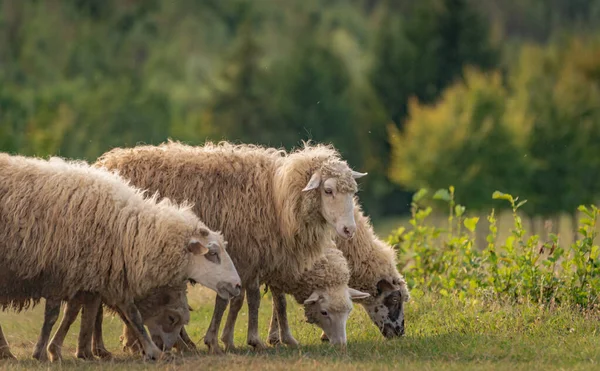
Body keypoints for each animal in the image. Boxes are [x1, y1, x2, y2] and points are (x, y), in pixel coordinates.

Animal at [0, 153, 241, 362]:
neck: (127, 228)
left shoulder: (98, 273)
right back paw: (7, 351)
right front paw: (43, 351)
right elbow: (53, 315)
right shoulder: (61, 272)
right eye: (213, 253)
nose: (238, 285)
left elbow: (120, 313)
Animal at [94, 139, 368, 352]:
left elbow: (248, 299)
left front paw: (231, 339)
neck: (278, 197)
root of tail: (105, 161)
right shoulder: (241, 255)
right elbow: (241, 300)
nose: (349, 230)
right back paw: (110, 348)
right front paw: (237, 340)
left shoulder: (255, 258)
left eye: (352, 192)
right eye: (328, 190)